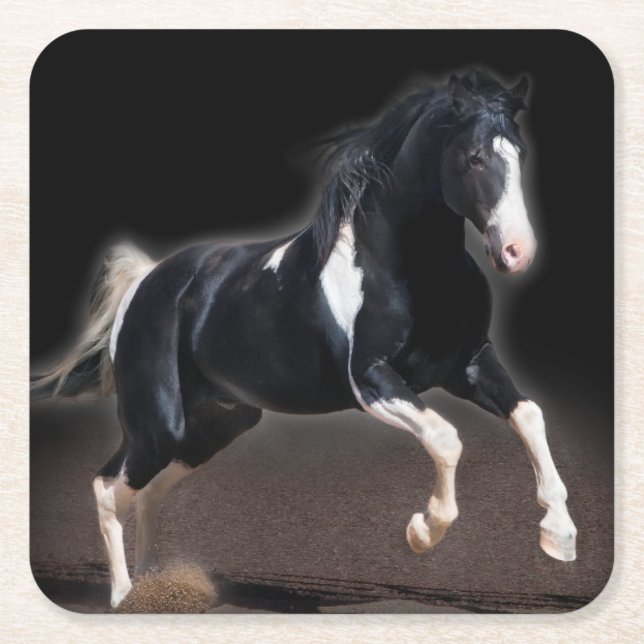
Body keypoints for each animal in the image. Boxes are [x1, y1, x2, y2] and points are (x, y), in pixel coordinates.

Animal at [31, 70, 577, 609]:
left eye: (521, 154)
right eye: (475, 157)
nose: (517, 252)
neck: (406, 267)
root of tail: (146, 280)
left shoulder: (468, 364)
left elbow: (530, 415)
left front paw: (560, 536)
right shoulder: (372, 381)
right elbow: (445, 438)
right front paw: (422, 532)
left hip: (216, 424)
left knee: (146, 493)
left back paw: (155, 587)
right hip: (158, 424)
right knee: (109, 490)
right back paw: (125, 595)